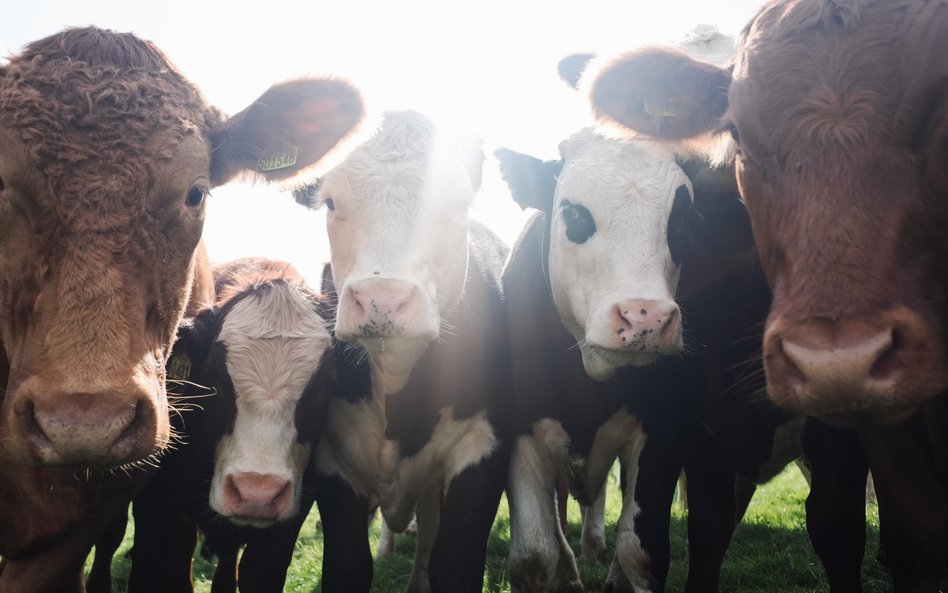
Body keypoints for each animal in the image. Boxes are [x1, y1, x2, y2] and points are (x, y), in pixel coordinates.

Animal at [306, 107, 512, 592]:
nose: (382, 298)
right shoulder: (332, 461)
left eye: (457, 204)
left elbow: (453, 563)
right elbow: (347, 566)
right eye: (331, 202)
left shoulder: (483, 449)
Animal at [584, 2, 948, 588]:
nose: (837, 361)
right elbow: (708, 529)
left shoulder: (842, 437)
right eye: (735, 127)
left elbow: (837, 528)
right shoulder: (700, 422)